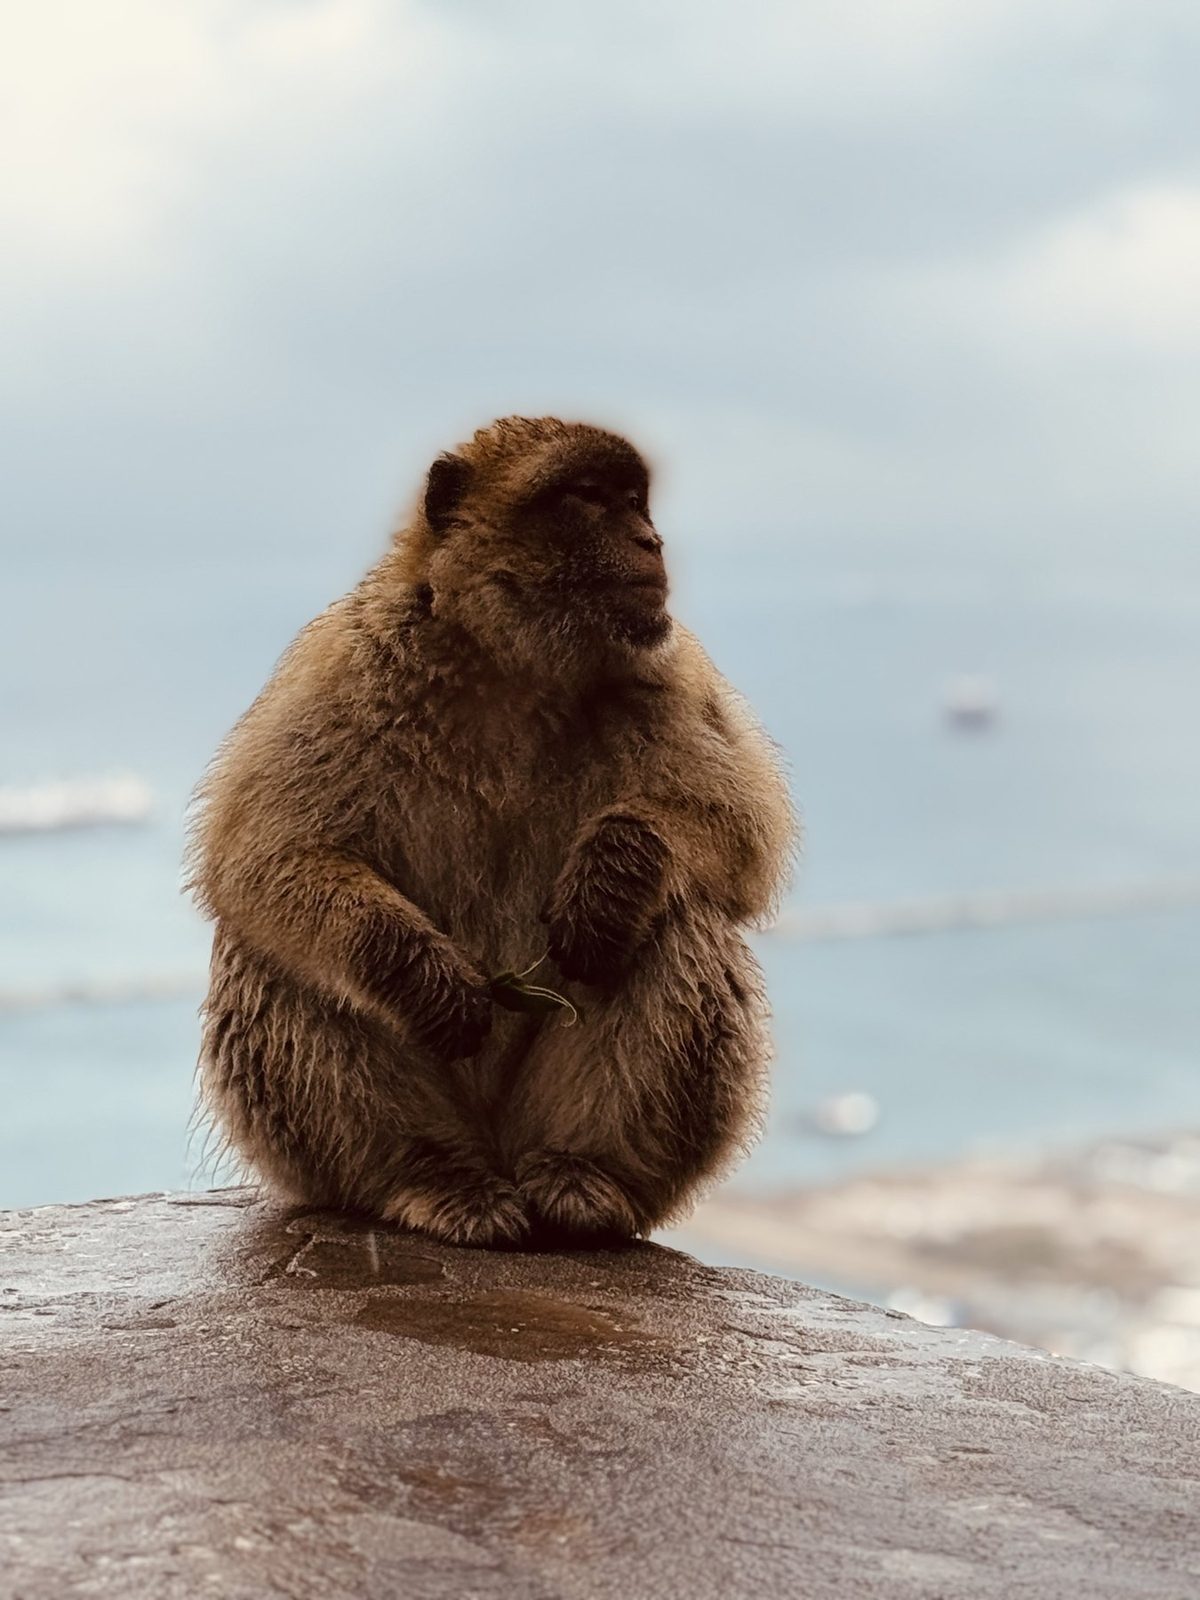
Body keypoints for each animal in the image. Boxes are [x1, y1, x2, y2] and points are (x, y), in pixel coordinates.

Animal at [187, 416, 796, 1248]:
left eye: (635, 500)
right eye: (589, 497)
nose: (652, 540)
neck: (512, 663)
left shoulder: (668, 671)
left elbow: (741, 837)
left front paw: (610, 875)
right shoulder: (348, 665)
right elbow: (265, 857)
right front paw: (424, 977)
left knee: (679, 919)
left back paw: (582, 1175)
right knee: (281, 953)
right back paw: (430, 1175)